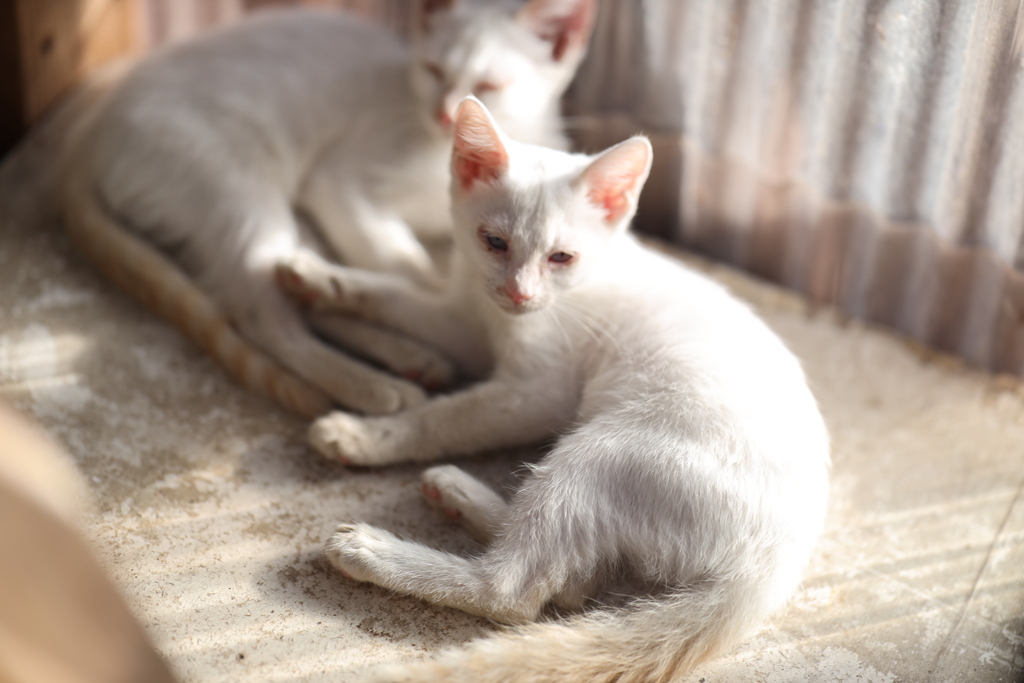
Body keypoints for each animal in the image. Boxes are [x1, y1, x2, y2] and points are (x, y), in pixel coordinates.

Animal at [59, 0, 598, 417]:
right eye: (433, 70)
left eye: (489, 85)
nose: (446, 113)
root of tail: (95, 126)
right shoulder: (340, 184)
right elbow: (409, 268)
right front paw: (446, 304)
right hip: (242, 193)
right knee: (265, 316)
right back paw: (371, 385)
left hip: (286, 217)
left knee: (295, 290)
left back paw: (401, 352)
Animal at [278, 98, 831, 679]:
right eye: (494, 242)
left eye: (561, 257)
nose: (519, 294)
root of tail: (768, 574)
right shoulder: (469, 323)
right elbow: (397, 297)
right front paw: (318, 278)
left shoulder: (538, 391)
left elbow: (445, 417)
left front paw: (364, 436)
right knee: (572, 584)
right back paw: (458, 493)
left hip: (602, 448)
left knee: (514, 592)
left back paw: (373, 549)